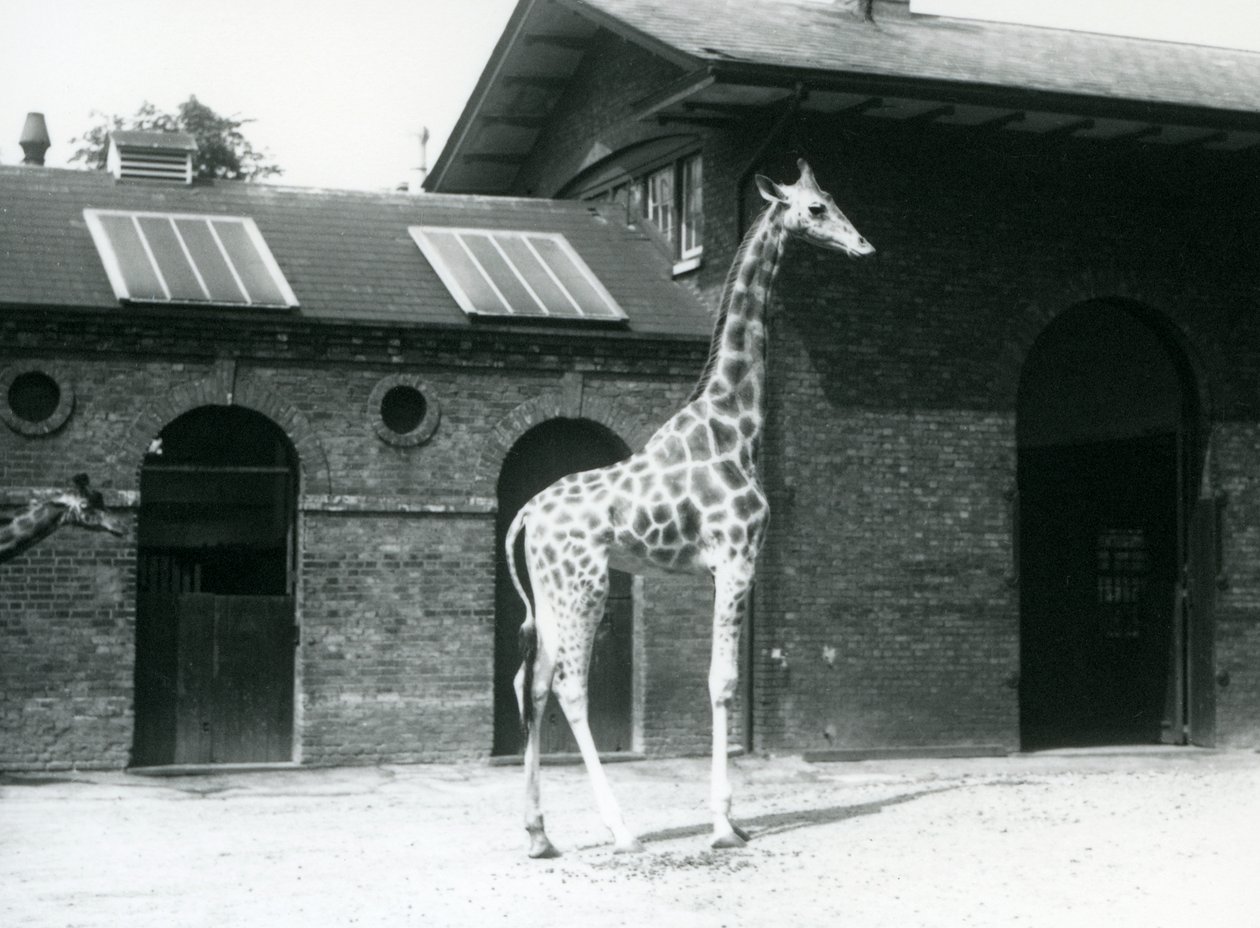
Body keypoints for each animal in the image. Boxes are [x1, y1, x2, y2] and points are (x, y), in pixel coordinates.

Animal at [505, 159, 875, 858]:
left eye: (835, 199)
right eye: (815, 209)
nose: (862, 246)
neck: (736, 425)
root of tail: (523, 517)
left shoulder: (726, 567)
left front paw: (732, 820)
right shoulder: (736, 558)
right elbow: (722, 682)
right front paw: (724, 825)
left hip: (549, 589)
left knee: (531, 684)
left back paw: (539, 835)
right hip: (587, 584)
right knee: (568, 685)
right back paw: (620, 829)